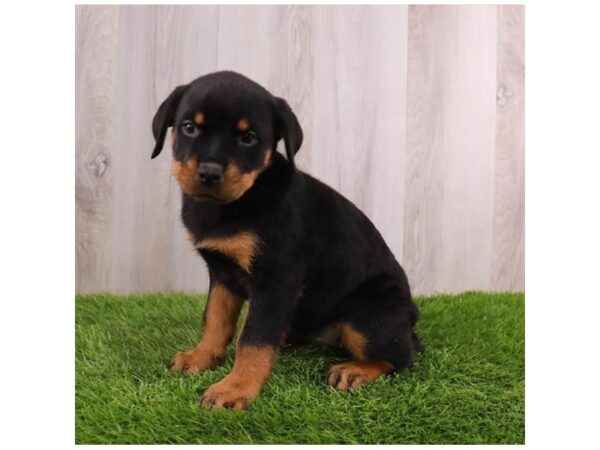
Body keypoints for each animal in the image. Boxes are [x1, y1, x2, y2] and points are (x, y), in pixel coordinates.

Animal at [151, 68, 422, 410]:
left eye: (248, 138)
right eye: (189, 127)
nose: (210, 174)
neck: (239, 203)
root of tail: (411, 318)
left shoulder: (277, 278)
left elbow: (254, 339)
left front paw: (235, 389)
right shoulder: (223, 273)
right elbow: (215, 318)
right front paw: (201, 357)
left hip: (366, 318)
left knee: (400, 357)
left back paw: (355, 370)